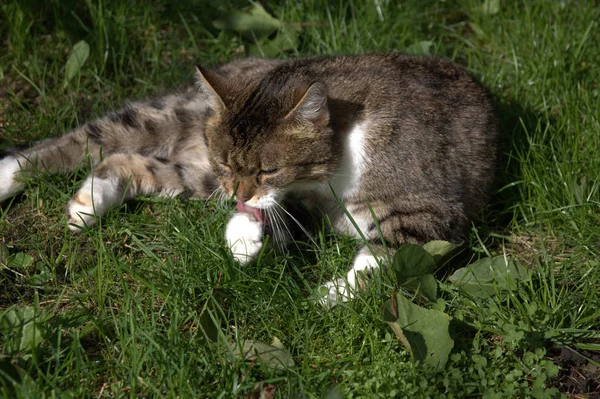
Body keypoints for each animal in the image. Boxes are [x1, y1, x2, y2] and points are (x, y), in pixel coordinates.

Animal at [0, 53, 496, 306]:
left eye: (266, 169)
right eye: (228, 164)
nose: (234, 189)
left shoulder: (432, 213)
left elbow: (384, 256)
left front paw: (328, 294)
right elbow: (275, 211)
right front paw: (246, 236)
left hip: (191, 175)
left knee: (123, 159)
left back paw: (88, 202)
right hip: (175, 123)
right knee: (94, 136)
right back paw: (9, 174)